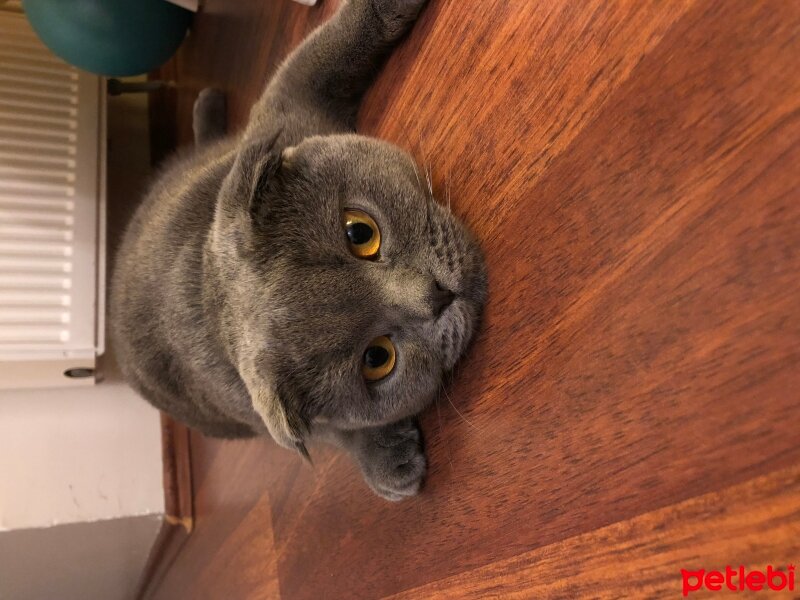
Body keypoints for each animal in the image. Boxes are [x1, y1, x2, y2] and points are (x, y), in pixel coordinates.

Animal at [112, 0, 488, 500]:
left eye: (359, 233)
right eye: (377, 359)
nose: (438, 295)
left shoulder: (285, 104)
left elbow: (332, 43)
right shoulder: (256, 411)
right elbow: (333, 432)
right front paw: (387, 462)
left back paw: (208, 103)